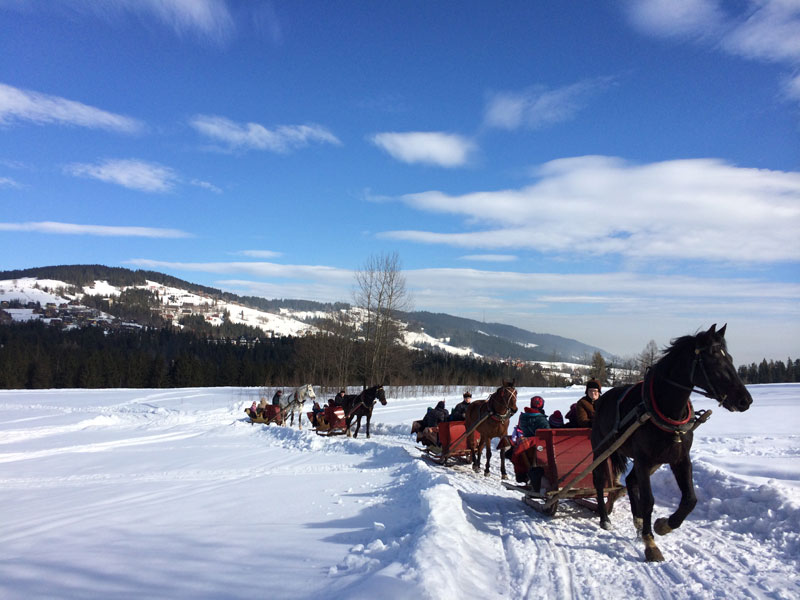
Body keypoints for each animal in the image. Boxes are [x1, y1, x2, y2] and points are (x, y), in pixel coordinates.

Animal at [592, 326, 752, 560]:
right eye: (713, 360)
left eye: (729, 358)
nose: (745, 400)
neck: (666, 410)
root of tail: (601, 399)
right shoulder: (643, 459)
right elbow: (649, 500)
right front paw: (650, 543)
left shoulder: (680, 459)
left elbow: (690, 499)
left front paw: (662, 525)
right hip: (602, 449)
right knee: (598, 479)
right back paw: (605, 519)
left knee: (630, 481)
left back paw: (638, 521)